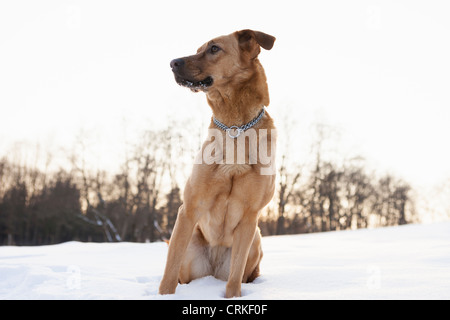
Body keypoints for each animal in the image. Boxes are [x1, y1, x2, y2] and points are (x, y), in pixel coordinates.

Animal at [158, 28, 278, 298]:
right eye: (199, 48)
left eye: (214, 49)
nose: (172, 63)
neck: (235, 126)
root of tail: (211, 271)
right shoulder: (189, 209)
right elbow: (169, 273)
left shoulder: (249, 216)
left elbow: (234, 280)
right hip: (191, 243)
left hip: (256, 239)